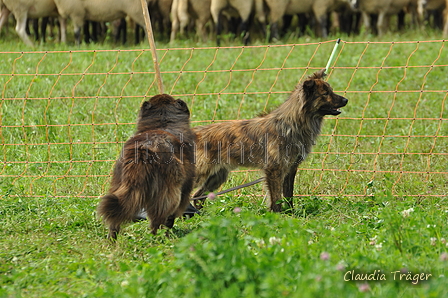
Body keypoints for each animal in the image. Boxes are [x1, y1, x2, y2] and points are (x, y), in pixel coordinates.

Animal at [97, 94, 195, 239]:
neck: (163, 123)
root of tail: (144, 149)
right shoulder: (184, 189)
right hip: (168, 193)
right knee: (158, 219)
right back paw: (158, 237)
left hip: (118, 184)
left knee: (115, 217)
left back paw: (112, 239)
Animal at [192, 68, 346, 211]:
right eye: (325, 94)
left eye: (331, 90)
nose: (346, 100)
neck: (292, 123)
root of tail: (194, 134)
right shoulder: (274, 170)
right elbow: (276, 198)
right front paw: (277, 215)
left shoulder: (290, 169)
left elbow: (288, 195)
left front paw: (290, 214)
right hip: (201, 173)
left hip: (217, 176)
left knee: (198, 196)